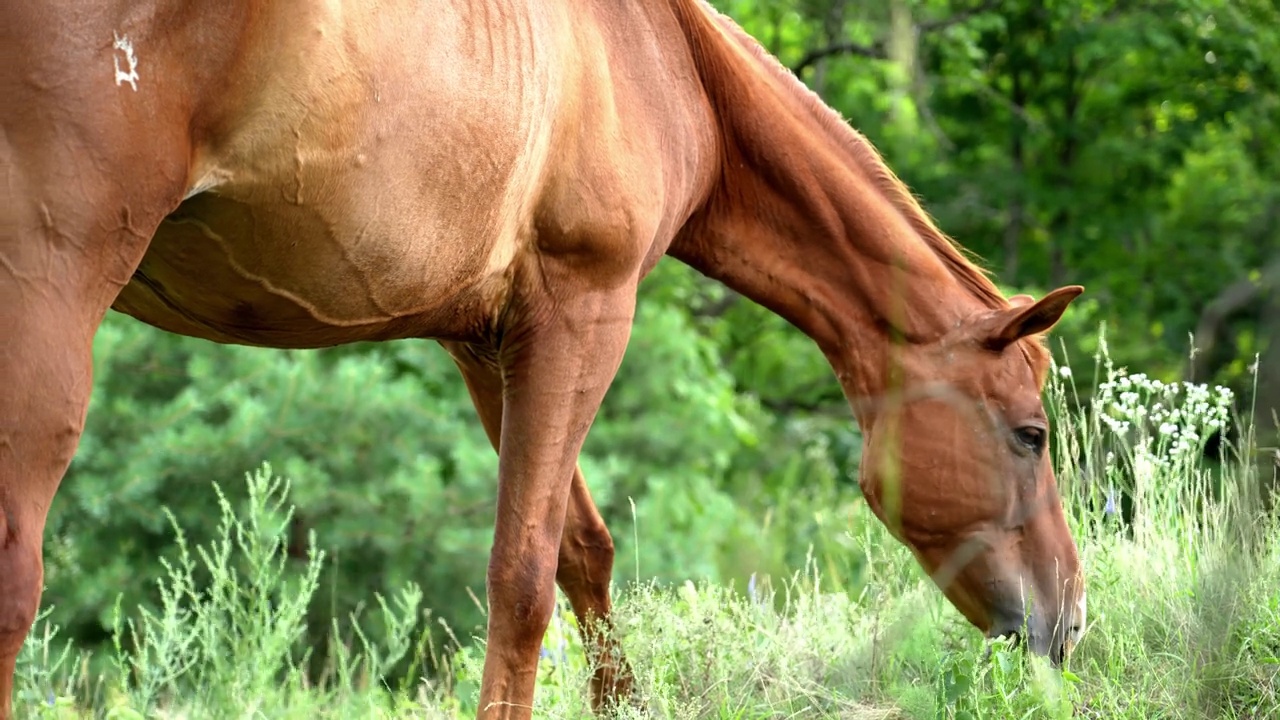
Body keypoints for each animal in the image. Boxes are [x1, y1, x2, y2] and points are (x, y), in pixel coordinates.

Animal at [2, 0, 1090, 712]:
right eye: (1029, 434)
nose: (1070, 620)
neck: (660, 58)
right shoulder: (583, 313)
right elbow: (523, 579)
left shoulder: (486, 342)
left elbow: (578, 552)